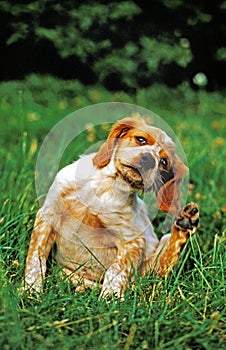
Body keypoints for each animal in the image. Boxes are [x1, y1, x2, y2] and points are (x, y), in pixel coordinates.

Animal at [23, 113, 199, 296]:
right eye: (141, 139)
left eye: (164, 162)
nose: (149, 160)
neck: (105, 187)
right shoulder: (48, 216)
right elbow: (35, 258)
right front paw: (30, 291)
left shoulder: (133, 241)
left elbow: (115, 271)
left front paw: (110, 299)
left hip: (152, 265)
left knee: (162, 270)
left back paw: (186, 223)